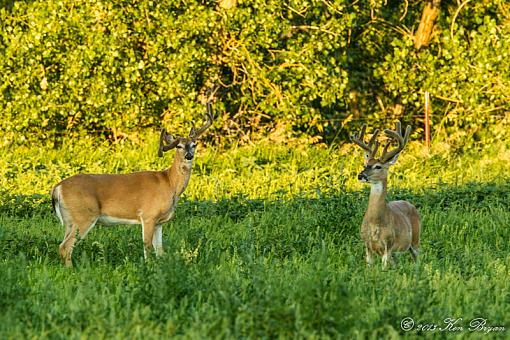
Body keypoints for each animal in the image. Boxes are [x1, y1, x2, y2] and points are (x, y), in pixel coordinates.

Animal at [53, 100, 215, 266]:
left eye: (194, 144)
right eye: (179, 146)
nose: (189, 156)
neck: (169, 183)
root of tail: (58, 188)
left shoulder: (159, 223)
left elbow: (160, 251)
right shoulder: (148, 216)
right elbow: (147, 248)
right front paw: (148, 267)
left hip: (69, 220)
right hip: (84, 215)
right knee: (65, 246)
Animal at [352, 121, 420, 268]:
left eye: (378, 166)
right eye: (366, 164)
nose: (361, 175)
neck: (375, 223)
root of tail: (409, 204)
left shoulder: (388, 244)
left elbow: (384, 269)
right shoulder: (367, 244)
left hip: (415, 239)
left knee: (418, 259)